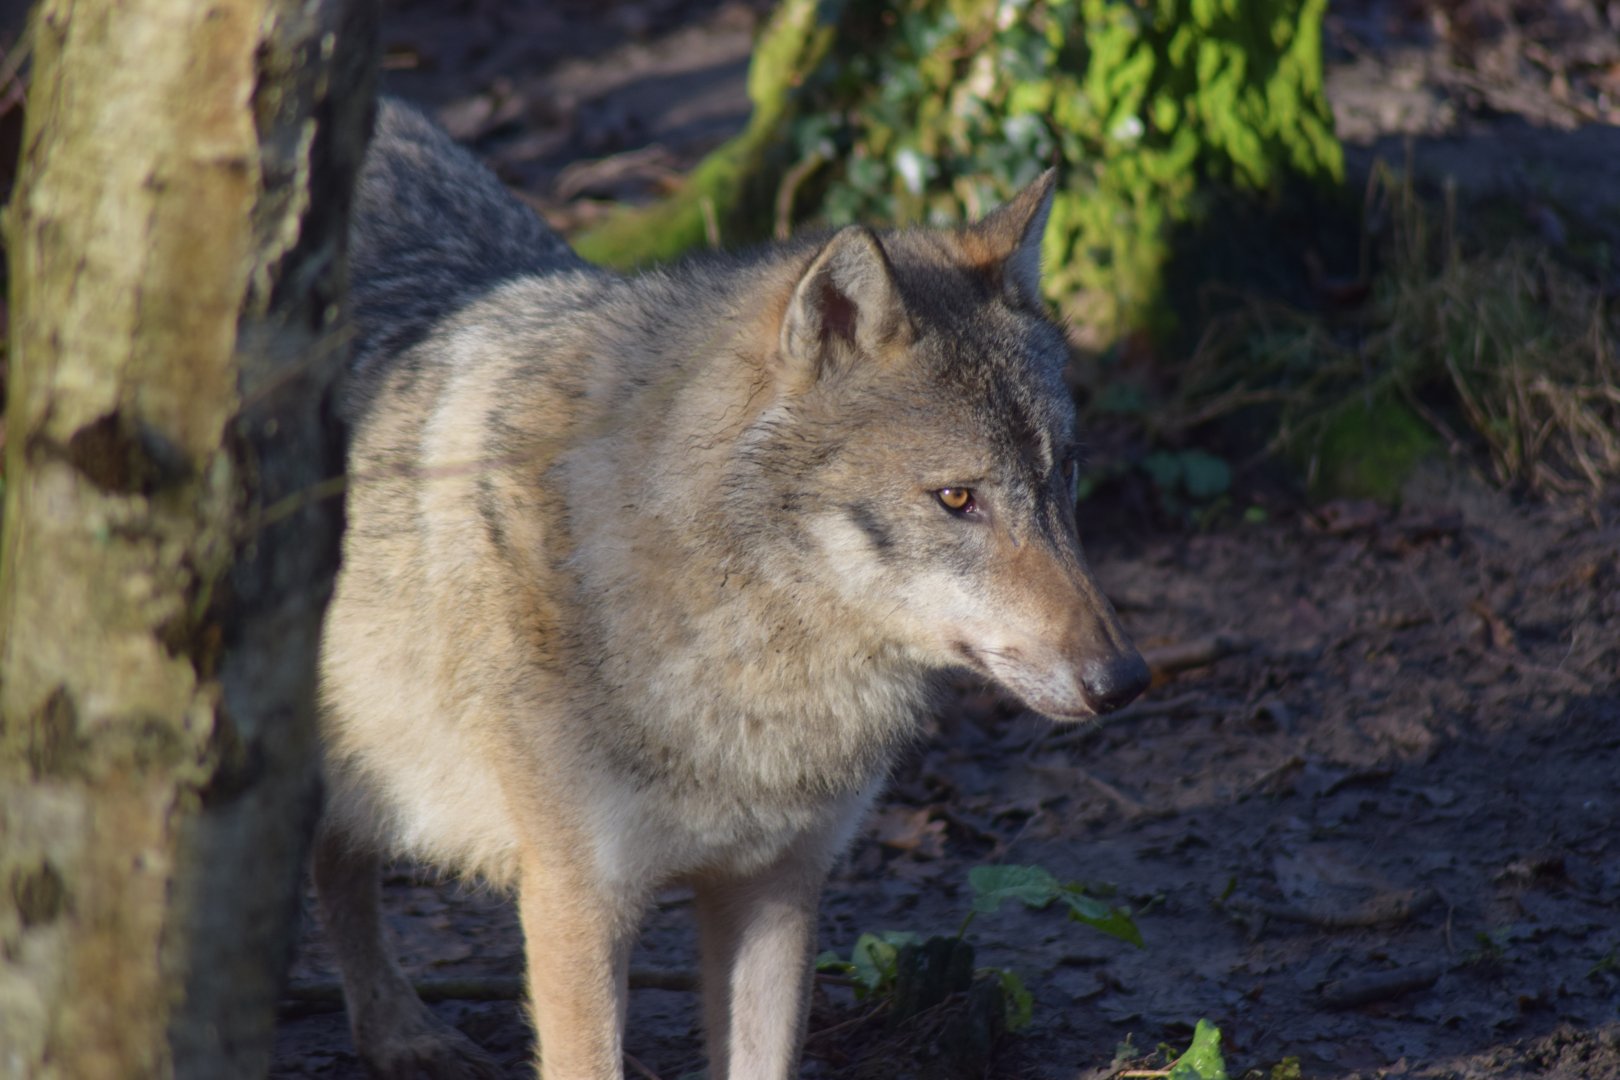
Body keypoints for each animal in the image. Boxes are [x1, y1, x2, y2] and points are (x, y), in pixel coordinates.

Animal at [312, 97, 1150, 1080]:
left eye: (1066, 474)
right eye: (957, 499)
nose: (1125, 681)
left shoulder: (776, 887)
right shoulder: (574, 904)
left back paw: (396, 1032)